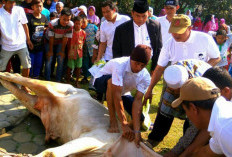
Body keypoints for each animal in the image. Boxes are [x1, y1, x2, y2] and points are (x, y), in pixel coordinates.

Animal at [0, 72, 161, 157]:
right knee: (23, 79)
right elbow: (51, 153)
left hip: (42, 107)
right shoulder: (95, 138)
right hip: (54, 87)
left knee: (27, 97)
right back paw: (5, 73)